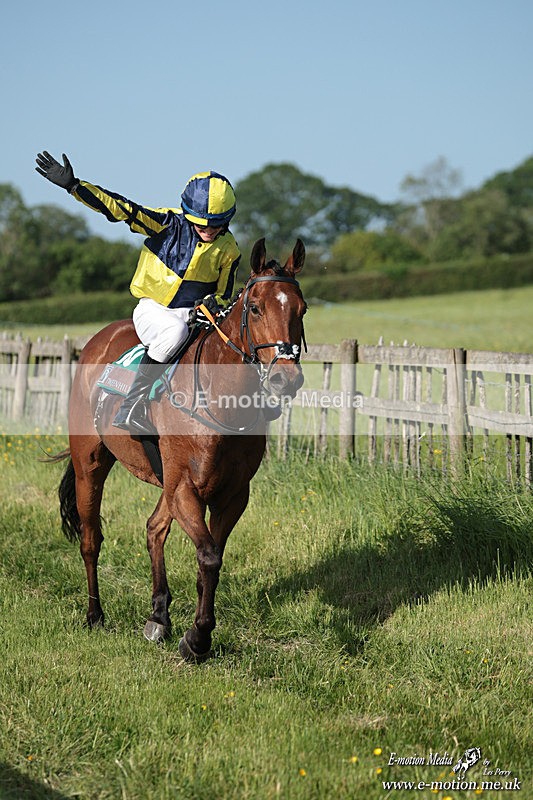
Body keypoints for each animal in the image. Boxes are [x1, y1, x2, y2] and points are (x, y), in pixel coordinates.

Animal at [55, 238, 307, 661]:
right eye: (256, 308)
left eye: (301, 309)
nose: (285, 378)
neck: (220, 400)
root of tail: (96, 342)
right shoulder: (185, 487)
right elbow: (208, 555)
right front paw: (199, 638)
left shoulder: (230, 493)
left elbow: (212, 557)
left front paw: (192, 631)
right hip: (91, 463)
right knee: (91, 540)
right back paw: (95, 615)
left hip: (165, 479)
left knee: (154, 528)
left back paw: (158, 616)